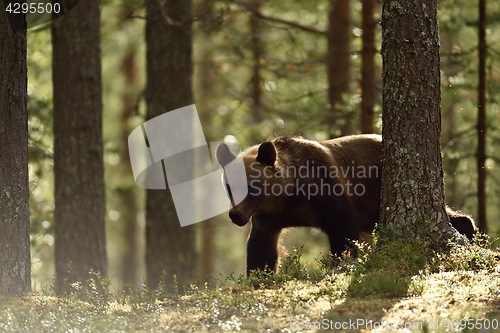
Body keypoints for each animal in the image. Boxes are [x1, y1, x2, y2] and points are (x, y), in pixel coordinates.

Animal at [217, 134, 478, 274]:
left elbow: (342, 230)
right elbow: (261, 246)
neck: (289, 194)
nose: (235, 215)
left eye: (251, 186)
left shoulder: (327, 191)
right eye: (229, 186)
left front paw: (342, 262)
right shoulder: (268, 216)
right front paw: (258, 275)